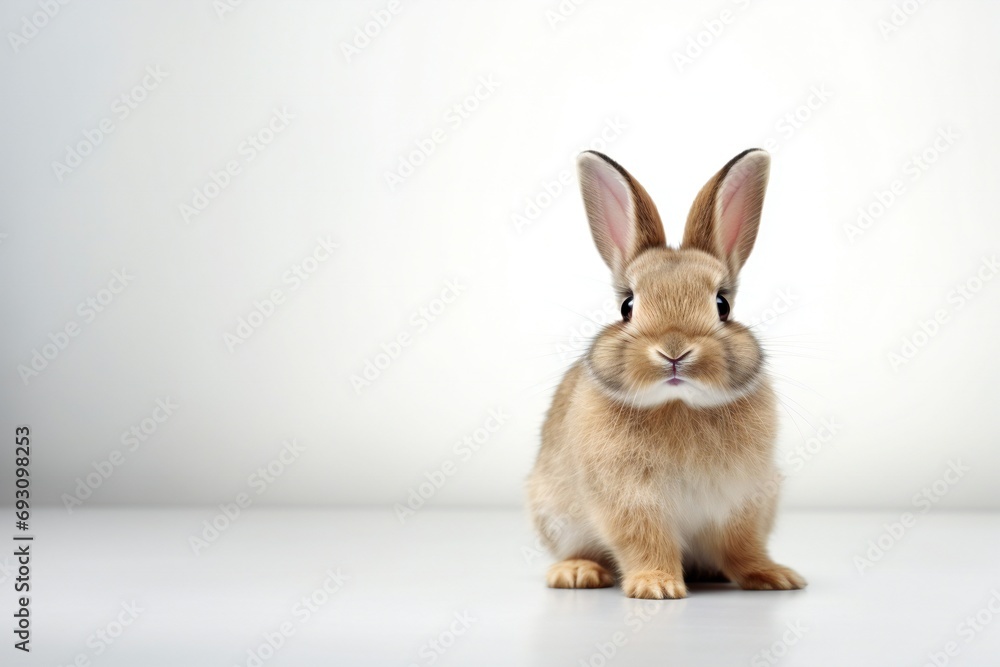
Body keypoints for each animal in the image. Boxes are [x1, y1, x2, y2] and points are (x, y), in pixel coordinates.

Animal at [526, 149, 805, 599]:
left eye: (723, 305)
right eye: (627, 306)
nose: (674, 352)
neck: (679, 404)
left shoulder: (744, 501)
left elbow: (743, 546)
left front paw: (773, 576)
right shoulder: (630, 502)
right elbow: (645, 541)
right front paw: (656, 586)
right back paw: (577, 573)